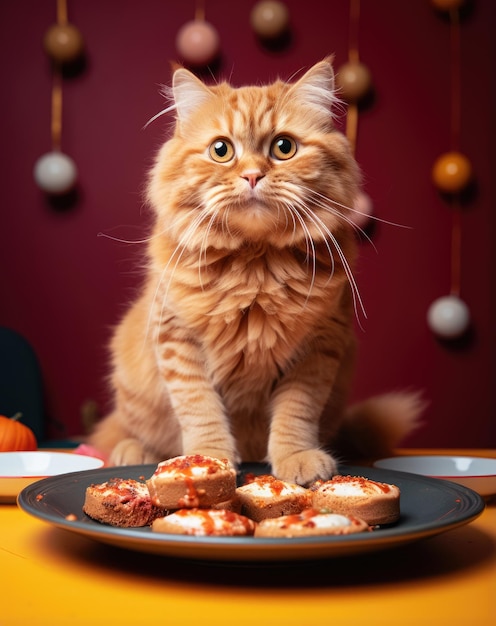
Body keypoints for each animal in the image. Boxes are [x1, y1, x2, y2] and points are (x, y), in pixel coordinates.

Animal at [90, 58, 422, 486]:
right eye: (221, 150)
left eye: (284, 147)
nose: (251, 175)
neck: (255, 266)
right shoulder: (176, 340)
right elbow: (200, 410)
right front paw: (206, 459)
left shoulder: (319, 346)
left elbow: (296, 413)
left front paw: (296, 457)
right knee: (123, 430)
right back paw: (132, 450)